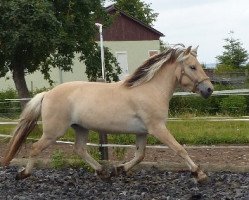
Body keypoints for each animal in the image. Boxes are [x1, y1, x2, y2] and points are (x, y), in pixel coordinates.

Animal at [0, 45, 213, 183]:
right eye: (193, 67)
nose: (209, 89)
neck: (150, 90)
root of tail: (47, 93)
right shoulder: (157, 128)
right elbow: (179, 149)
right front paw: (199, 174)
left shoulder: (142, 132)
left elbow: (140, 155)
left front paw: (120, 169)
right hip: (54, 131)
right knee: (36, 147)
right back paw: (23, 174)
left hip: (81, 128)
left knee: (80, 149)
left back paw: (103, 172)